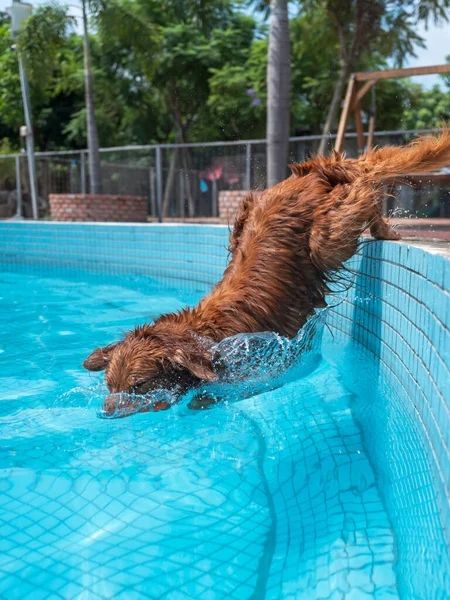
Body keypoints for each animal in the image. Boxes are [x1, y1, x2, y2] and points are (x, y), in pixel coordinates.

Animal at [83, 132, 450, 414]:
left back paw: (384, 228)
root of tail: (309, 172)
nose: (106, 413)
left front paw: (200, 402)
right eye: (109, 386)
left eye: (139, 385)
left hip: (323, 240)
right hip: (246, 214)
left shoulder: (264, 365)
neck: (203, 335)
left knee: (364, 187)